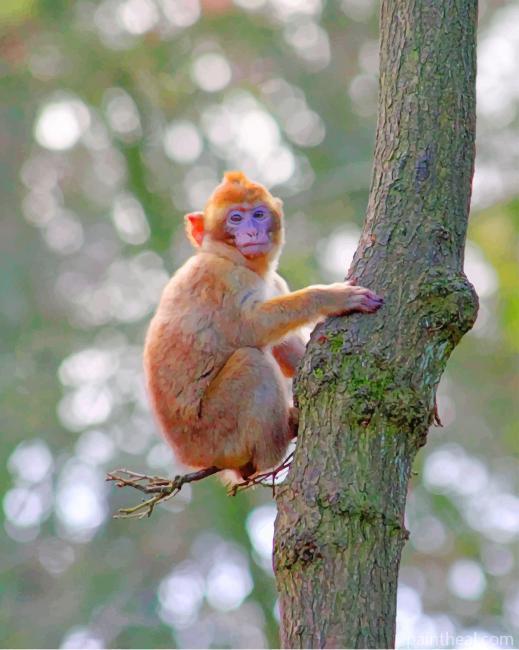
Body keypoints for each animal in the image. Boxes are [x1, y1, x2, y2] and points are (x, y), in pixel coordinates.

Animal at [143, 171, 383, 481]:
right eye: (235, 218)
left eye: (258, 215)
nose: (252, 232)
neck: (238, 262)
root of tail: (190, 456)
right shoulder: (220, 278)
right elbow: (250, 329)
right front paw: (330, 297)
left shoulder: (275, 282)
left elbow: (287, 348)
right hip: (215, 431)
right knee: (251, 361)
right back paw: (278, 442)